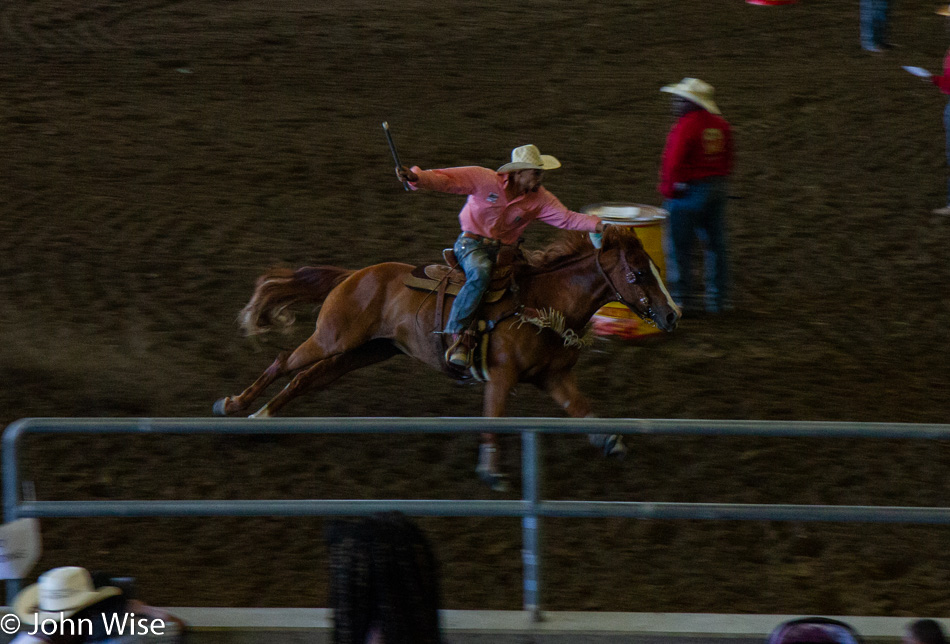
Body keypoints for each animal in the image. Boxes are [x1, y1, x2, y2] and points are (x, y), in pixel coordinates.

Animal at [216, 226, 680, 488]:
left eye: (656, 268)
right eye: (638, 273)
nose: (673, 315)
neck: (543, 303)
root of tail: (353, 275)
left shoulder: (556, 378)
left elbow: (584, 409)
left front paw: (612, 441)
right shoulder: (501, 376)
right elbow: (493, 419)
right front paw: (491, 472)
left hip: (361, 352)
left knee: (304, 380)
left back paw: (263, 418)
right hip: (332, 338)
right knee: (283, 363)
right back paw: (237, 407)